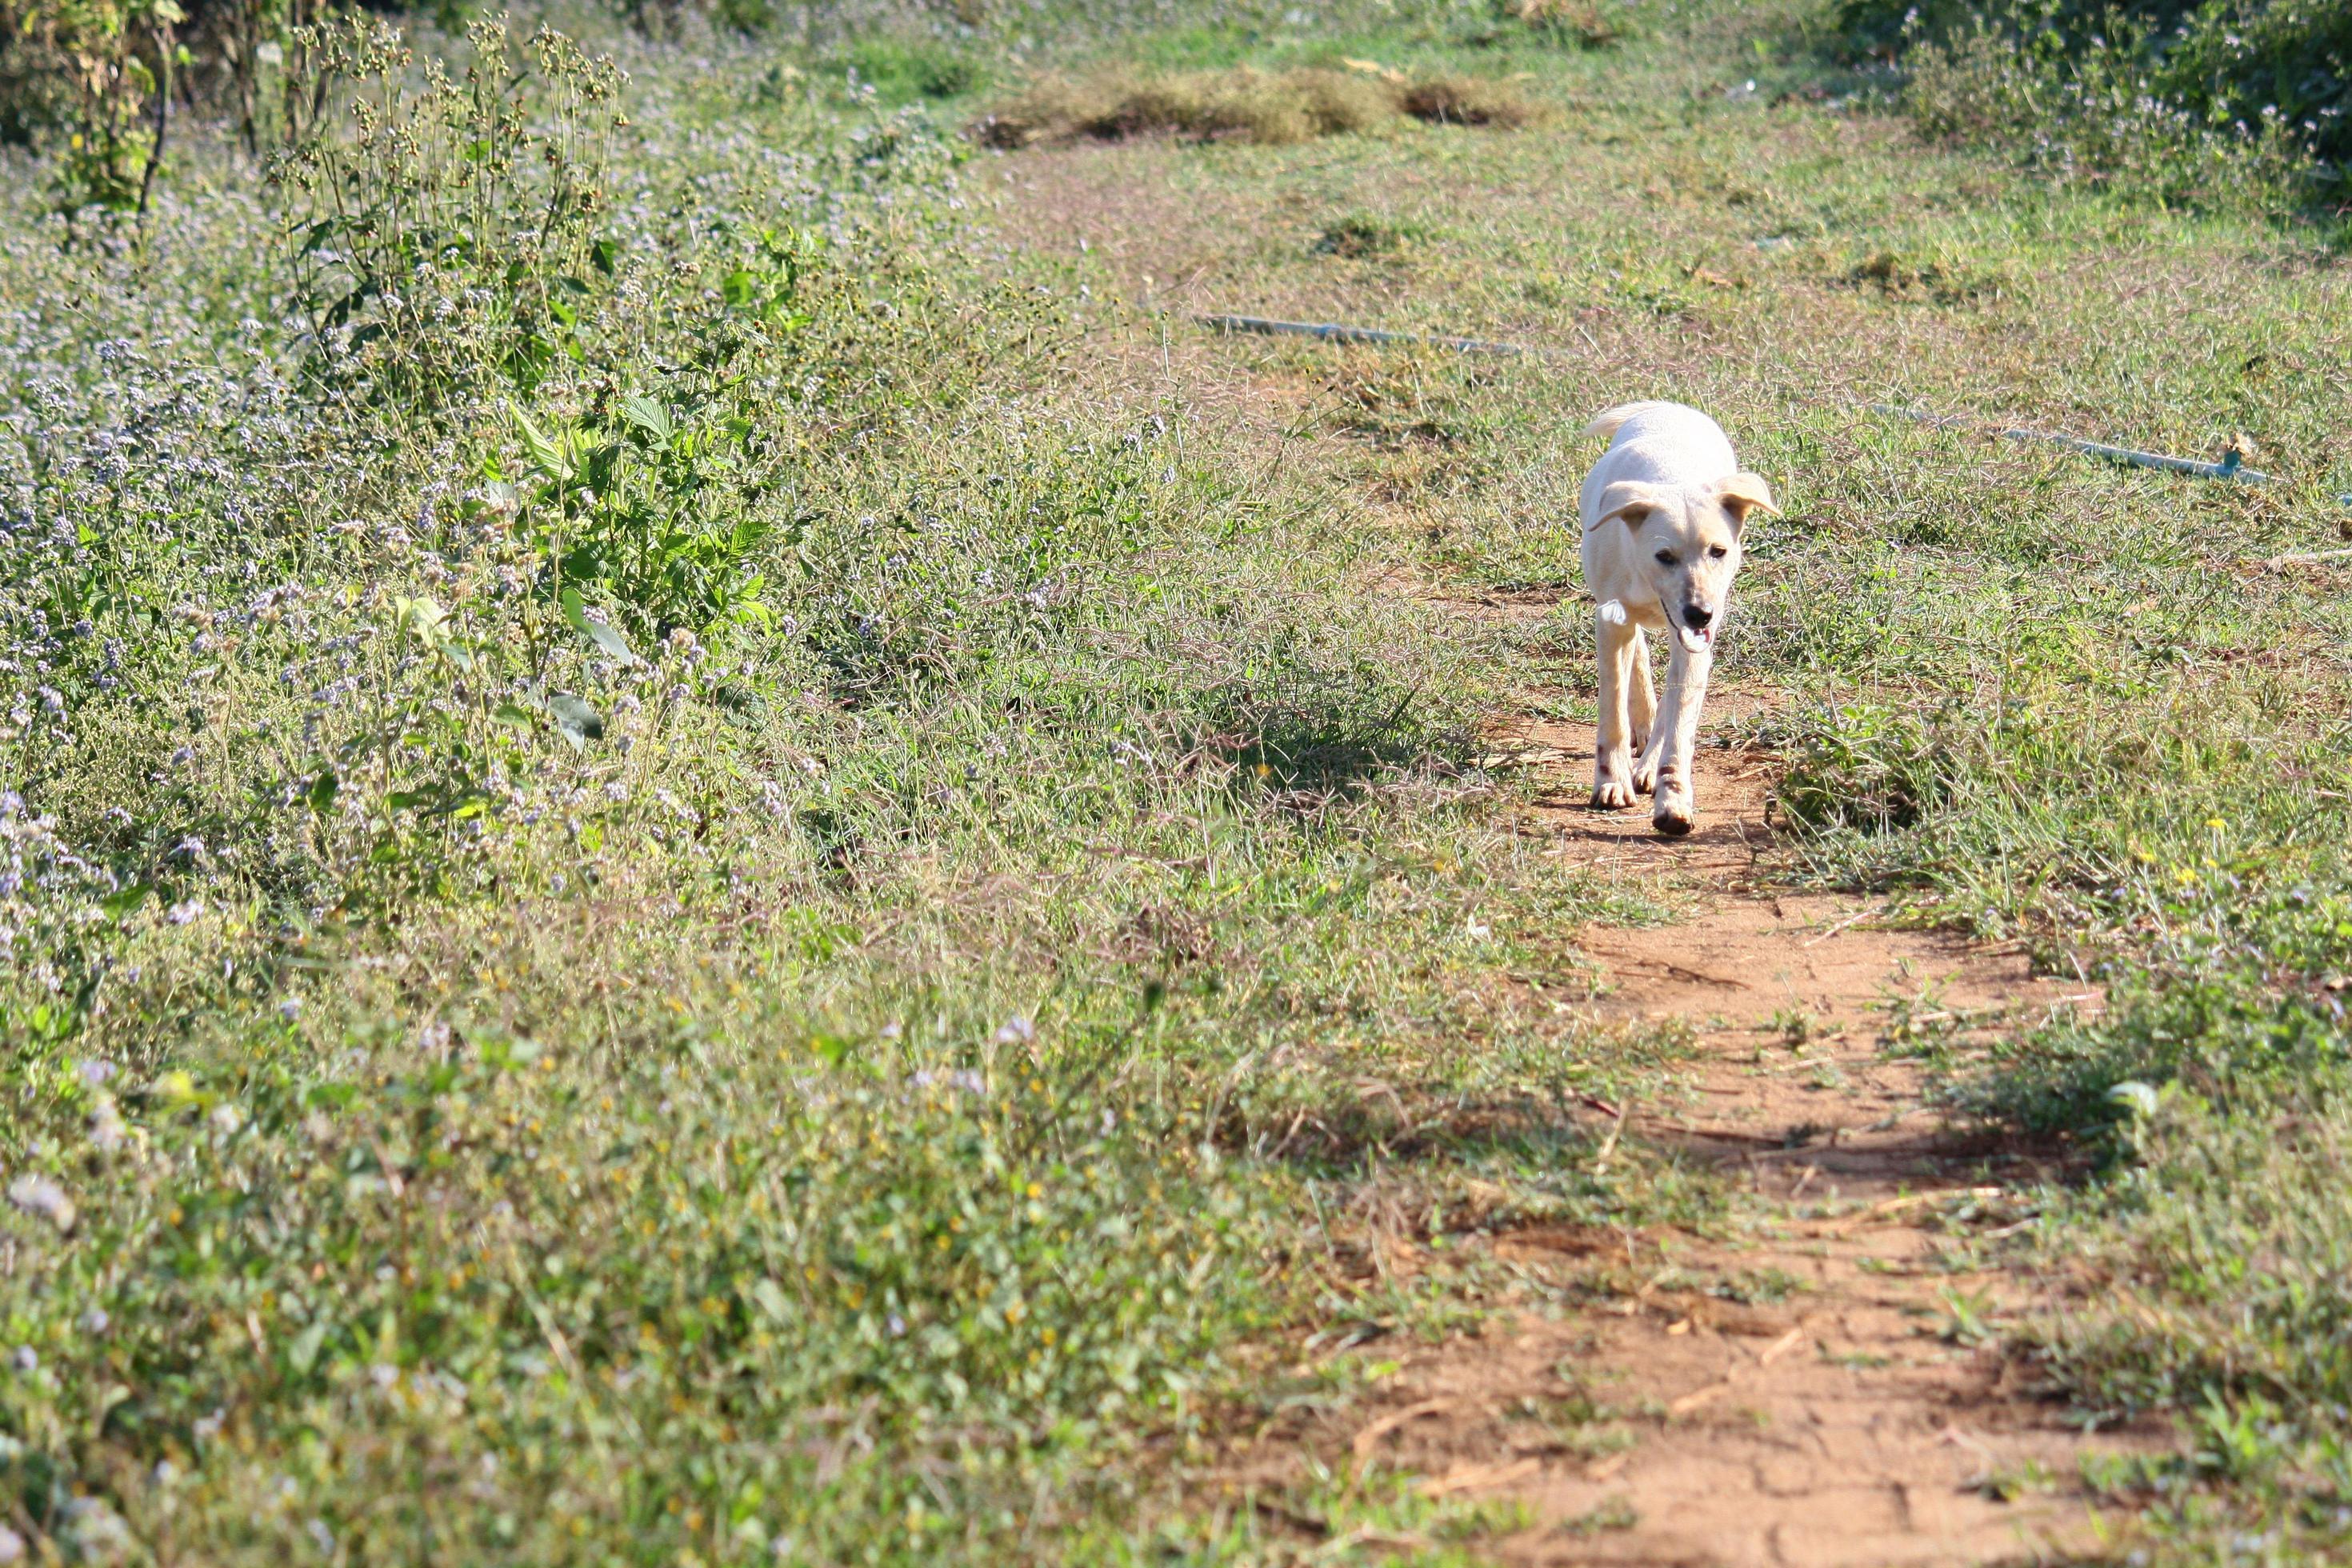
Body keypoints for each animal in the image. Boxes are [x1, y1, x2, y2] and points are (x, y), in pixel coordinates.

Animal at [1580, 404, 1778, 841]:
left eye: (1718, 551)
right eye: (1664, 556)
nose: (1700, 613)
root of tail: (1665, 406)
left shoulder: (1694, 643)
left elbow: (1679, 724)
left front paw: (1672, 800)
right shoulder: (1610, 619)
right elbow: (1612, 711)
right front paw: (1611, 783)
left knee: (1668, 702)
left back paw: (1649, 762)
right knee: (1636, 654)